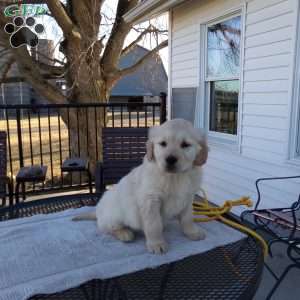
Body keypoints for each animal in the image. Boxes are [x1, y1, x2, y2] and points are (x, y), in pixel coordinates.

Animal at [73, 118, 209, 254]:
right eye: (163, 143)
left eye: (185, 144)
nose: (170, 159)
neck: (175, 177)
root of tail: (97, 212)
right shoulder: (150, 200)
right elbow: (154, 224)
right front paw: (156, 243)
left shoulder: (188, 197)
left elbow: (187, 218)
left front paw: (192, 232)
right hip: (113, 215)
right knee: (108, 228)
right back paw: (124, 233)